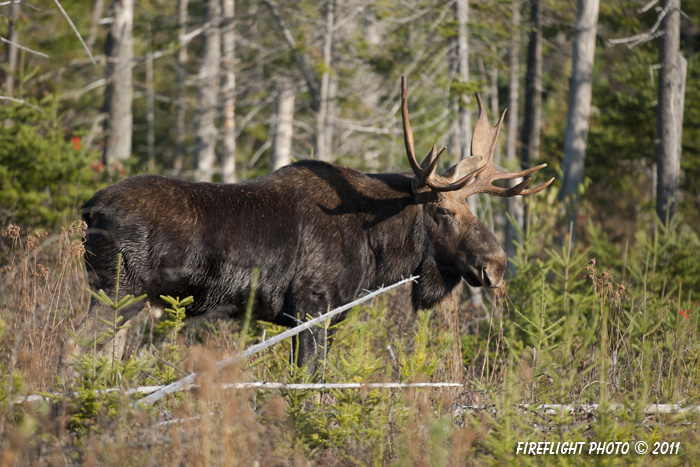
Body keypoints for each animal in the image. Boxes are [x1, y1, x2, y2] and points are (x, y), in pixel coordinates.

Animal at [65, 77, 556, 376]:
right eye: (444, 212)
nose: (497, 264)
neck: (375, 249)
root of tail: (90, 210)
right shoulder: (312, 309)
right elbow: (309, 386)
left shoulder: (325, 316)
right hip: (116, 292)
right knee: (71, 348)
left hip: (131, 304)